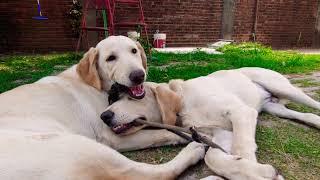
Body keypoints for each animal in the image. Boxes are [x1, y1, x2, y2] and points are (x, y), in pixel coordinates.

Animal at [0, 35, 205, 179]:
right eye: (110, 58)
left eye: (134, 51)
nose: (138, 75)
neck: (98, 85)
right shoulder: (111, 135)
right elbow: (162, 132)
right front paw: (187, 132)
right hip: (78, 146)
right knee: (145, 173)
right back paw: (193, 149)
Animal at [101, 67, 320, 179]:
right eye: (114, 99)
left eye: (133, 97)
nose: (104, 116)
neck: (184, 103)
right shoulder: (219, 133)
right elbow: (212, 157)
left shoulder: (241, 112)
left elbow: (241, 149)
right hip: (274, 108)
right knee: (307, 115)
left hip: (283, 88)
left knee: (313, 103)